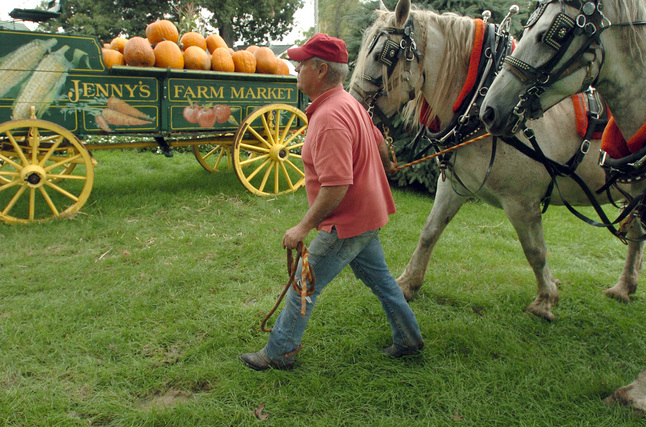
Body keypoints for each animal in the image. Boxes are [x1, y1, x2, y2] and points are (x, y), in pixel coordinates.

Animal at [352, 0, 644, 320]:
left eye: (383, 54)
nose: (353, 105)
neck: (475, 104)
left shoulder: (522, 202)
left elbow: (535, 250)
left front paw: (546, 300)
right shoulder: (454, 185)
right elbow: (430, 231)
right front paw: (407, 284)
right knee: (637, 232)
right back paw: (624, 287)